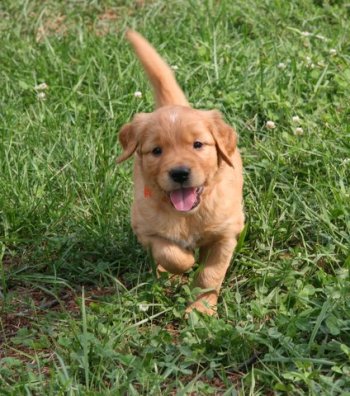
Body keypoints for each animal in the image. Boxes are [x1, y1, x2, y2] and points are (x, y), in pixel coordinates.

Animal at [117, 30, 243, 316]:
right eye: (156, 150)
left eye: (198, 144)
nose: (180, 173)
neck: (188, 214)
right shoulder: (144, 229)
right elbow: (170, 253)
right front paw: (182, 265)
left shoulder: (226, 234)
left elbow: (210, 275)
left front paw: (200, 309)